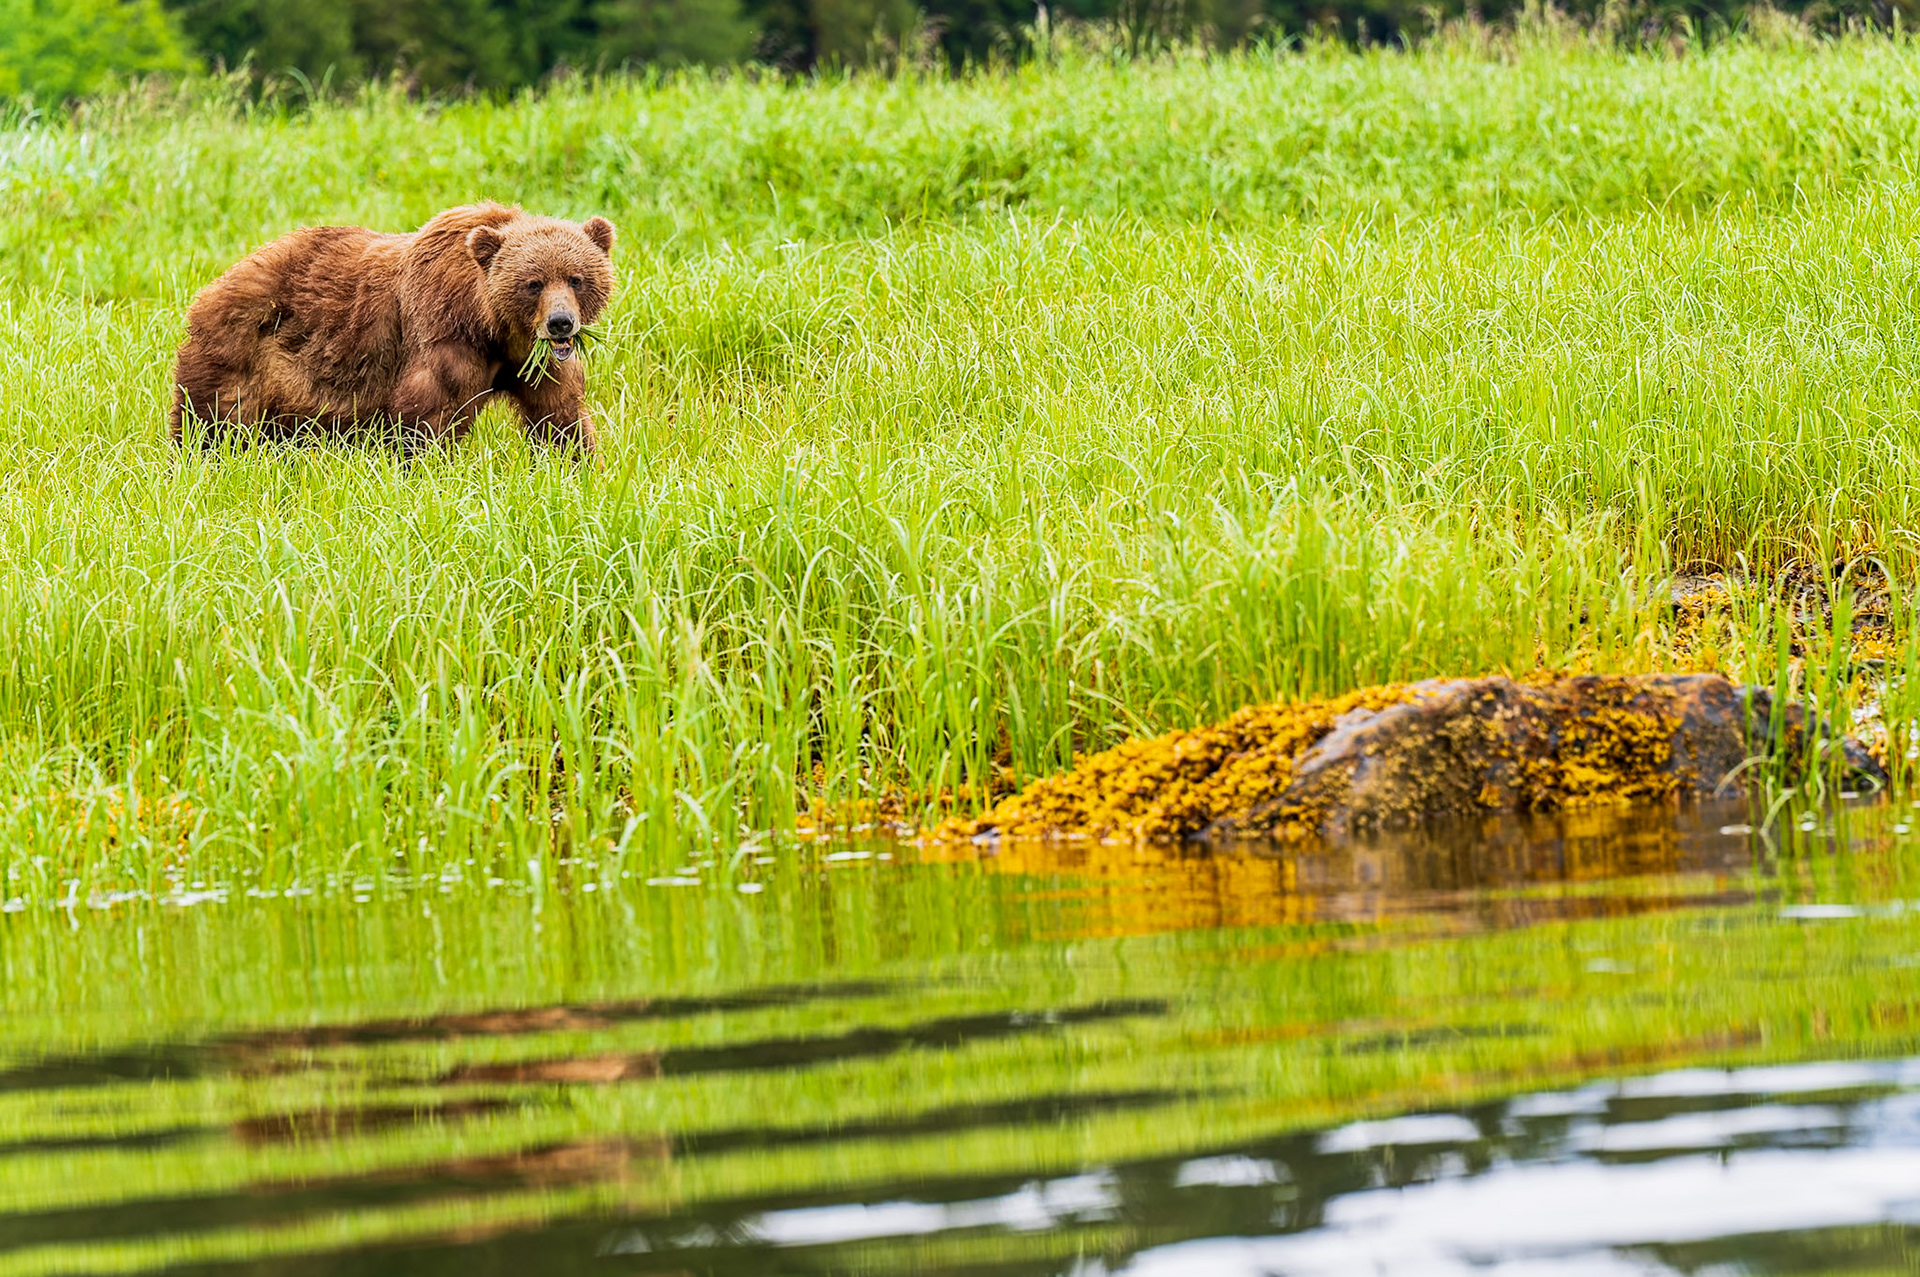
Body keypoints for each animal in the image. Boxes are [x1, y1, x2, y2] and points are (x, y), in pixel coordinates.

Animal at [170, 202, 616, 456]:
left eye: (576, 278)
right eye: (533, 283)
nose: (560, 322)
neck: (489, 325)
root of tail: (215, 285)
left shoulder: (532, 360)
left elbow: (559, 413)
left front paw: (580, 464)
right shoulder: (442, 333)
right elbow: (427, 413)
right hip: (246, 354)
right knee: (211, 421)